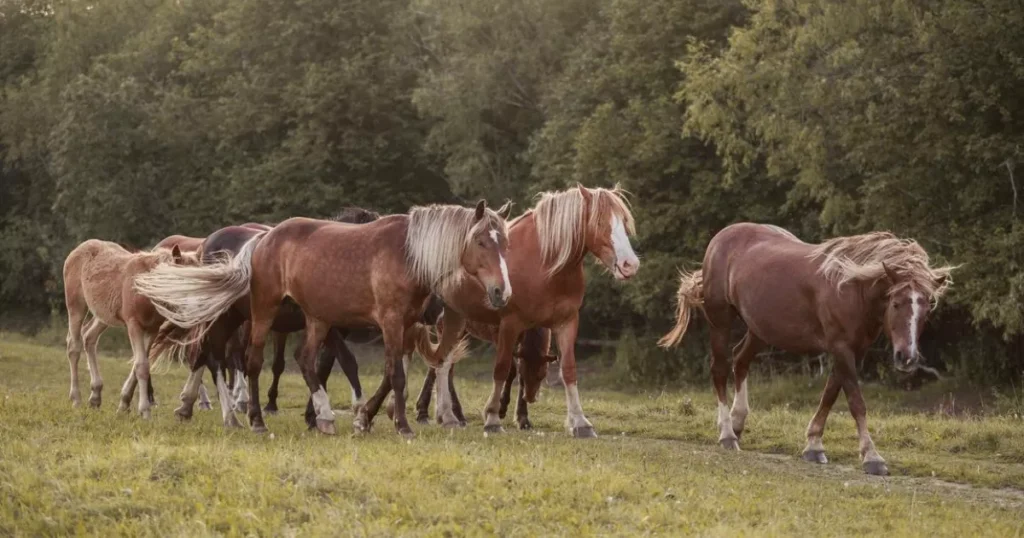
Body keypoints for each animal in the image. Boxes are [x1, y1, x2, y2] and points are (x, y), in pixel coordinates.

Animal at [61, 238, 197, 416]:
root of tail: (77, 250)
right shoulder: (134, 325)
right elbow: (141, 365)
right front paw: (145, 411)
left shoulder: (152, 330)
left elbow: (142, 363)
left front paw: (124, 404)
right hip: (76, 306)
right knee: (74, 347)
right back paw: (76, 399)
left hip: (104, 314)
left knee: (89, 337)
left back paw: (95, 396)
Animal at [136, 198, 512, 434]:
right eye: (481, 241)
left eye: (505, 242)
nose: (502, 292)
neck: (406, 255)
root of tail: (263, 239)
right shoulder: (389, 322)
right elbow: (393, 374)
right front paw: (399, 424)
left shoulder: (403, 326)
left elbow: (387, 374)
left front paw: (364, 418)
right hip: (261, 313)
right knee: (247, 361)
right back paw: (253, 419)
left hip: (306, 319)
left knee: (298, 359)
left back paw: (324, 416)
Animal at [419, 184, 634, 436]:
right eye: (600, 222)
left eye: (625, 221)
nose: (630, 264)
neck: (543, 264)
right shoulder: (509, 326)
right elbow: (503, 369)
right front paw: (493, 418)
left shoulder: (566, 323)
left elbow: (568, 369)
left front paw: (580, 423)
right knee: (441, 367)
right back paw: (437, 413)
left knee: (443, 365)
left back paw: (447, 415)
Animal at [659, 222, 954, 473]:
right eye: (896, 303)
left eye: (926, 308)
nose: (907, 358)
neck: (849, 288)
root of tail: (721, 237)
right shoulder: (841, 347)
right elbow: (855, 402)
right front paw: (872, 457)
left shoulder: (853, 351)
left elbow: (830, 394)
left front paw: (813, 445)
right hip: (720, 320)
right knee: (720, 369)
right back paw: (727, 434)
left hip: (760, 328)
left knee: (740, 360)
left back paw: (738, 421)